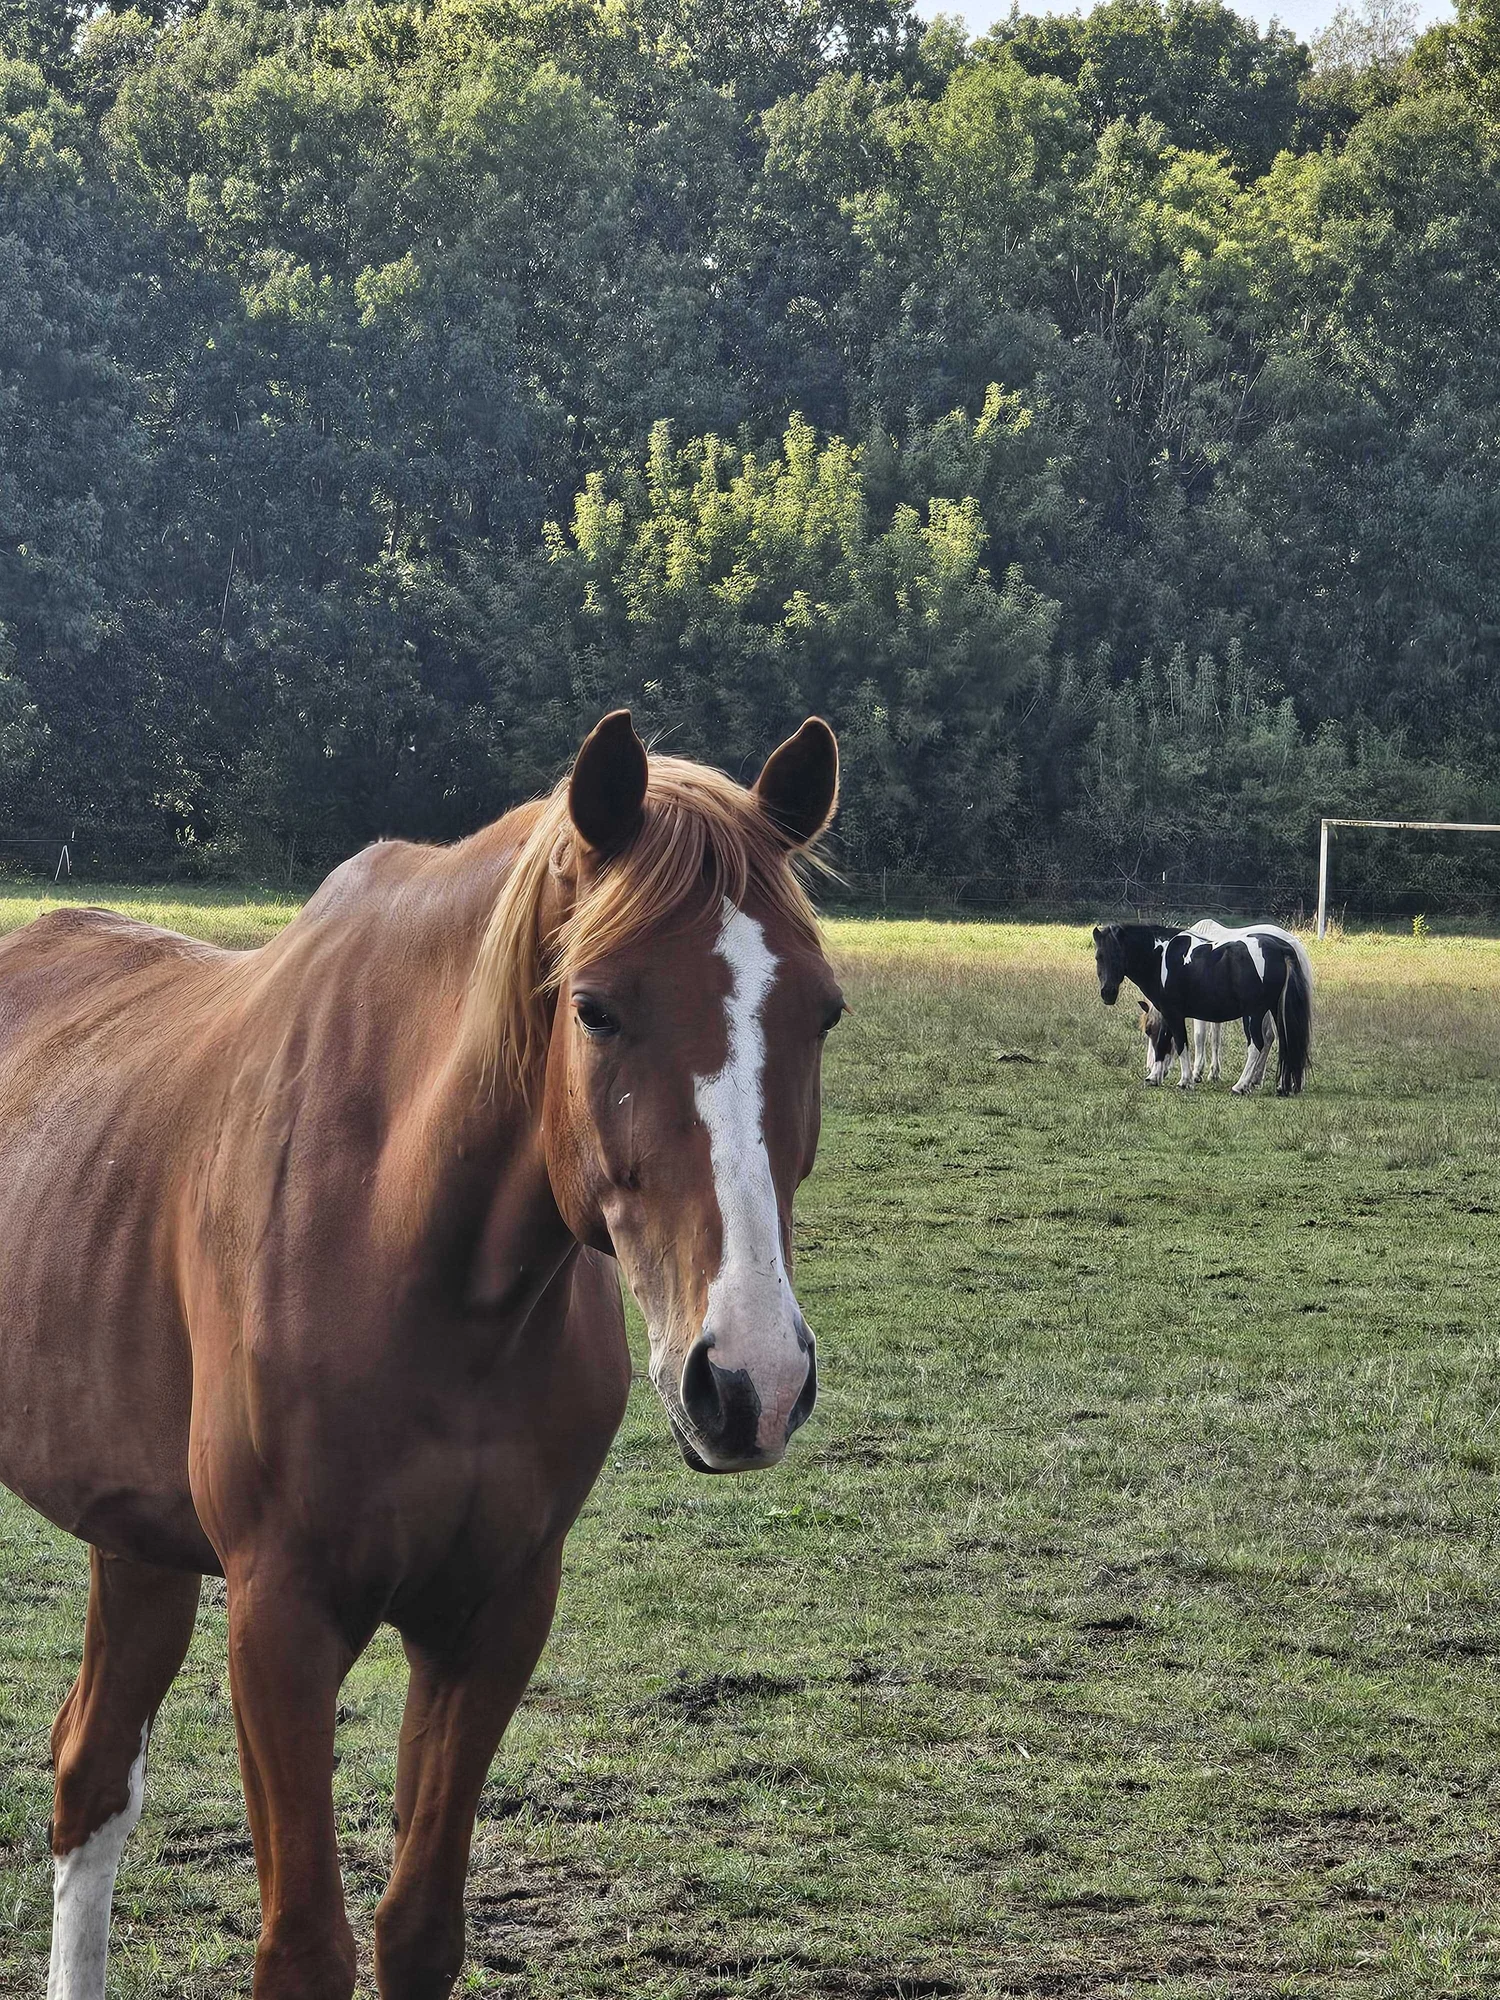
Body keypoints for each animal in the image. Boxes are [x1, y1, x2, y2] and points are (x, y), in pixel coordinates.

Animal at [0, 710, 844, 2000]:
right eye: (595, 1006)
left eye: (823, 1010)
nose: (753, 1378)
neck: (413, 1247)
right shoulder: (281, 1617)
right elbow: (306, 1943)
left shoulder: (491, 1613)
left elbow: (418, 1928)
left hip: (134, 1537)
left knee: (90, 1769)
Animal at [1094, 919, 1313, 1095]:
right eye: (1099, 957)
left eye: (1117, 956)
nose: (1107, 993)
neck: (1163, 958)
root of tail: (1283, 947)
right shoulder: (1169, 1013)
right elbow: (1167, 1041)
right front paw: (1155, 1077)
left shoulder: (1174, 1013)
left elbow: (1182, 1042)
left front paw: (1186, 1080)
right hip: (1275, 1010)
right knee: (1285, 1042)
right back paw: (1282, 1086)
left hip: (1253, 1014)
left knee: (1257, 1044)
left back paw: (1241, 1085)